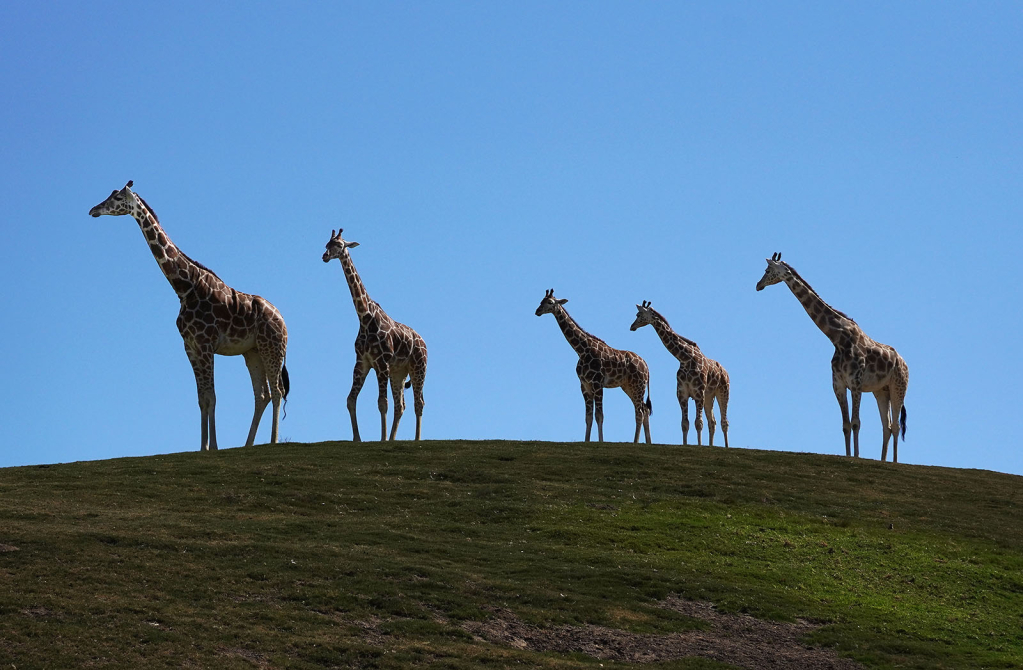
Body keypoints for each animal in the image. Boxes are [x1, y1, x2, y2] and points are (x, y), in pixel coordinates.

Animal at [89, 180, 288, 450]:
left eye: (118, 197)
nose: (93, 210)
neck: (184, 287)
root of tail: (284, 322)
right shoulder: (190, 346)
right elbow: (201, 398)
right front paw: (202, 447)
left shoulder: (205, 344)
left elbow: (212, 396)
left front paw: (213, 447)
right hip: (252, 351)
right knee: (262, 394)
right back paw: (247, 445)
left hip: (272, 346)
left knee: (277, 390)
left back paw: (273, 442)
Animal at [323, 228, 427, 443]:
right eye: (326, 244)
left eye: (339, 245)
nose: (325, 256)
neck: (364, 317)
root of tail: (425, 343)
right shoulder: (362, 362)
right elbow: (350, 399)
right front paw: (357, 439)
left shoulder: (381, 362)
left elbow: (381, 403)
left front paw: (381, 438)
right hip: (399, 372)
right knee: (401, 405)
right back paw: (393, 438)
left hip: (419, 367)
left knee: (419, 402)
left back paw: (416, 439)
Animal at [531, 290, 650, 443]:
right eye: (541, 301)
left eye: (550, 302)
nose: (537, 311)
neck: (581, 350)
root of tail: (646, 366)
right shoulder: (584, 385)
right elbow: (588, 417)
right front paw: (586, 441)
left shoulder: (597, 383)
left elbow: (599, 415)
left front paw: (601, 441)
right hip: (628, 386)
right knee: (645, 409)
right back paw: (649, 443)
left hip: (638, 385)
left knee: (640, 411)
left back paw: (635, 442)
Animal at [626, 300, 732, 448]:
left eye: (638, 314)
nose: (632, 326)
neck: (685, 358)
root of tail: (725, 371)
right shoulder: (682, 394)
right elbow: (685, 424)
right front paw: (686, 445)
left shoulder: (698, 393)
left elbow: (698, 423)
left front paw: (699, 446)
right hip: (709, 395)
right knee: (713, 422)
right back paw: (711, 446)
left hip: (723, 391)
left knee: (724, 422)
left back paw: (726, 447)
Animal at [752, 251, 912, 462]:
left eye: (767, 270)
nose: (758, 285)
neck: (837, 338)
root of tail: (904, 363)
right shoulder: (838, 385)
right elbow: (845, 425)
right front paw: (848, 455)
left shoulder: (856, 383)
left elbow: (856, 422)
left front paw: (857, 457)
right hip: (880, 391)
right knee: (886, 426)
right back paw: (883, 460)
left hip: (898, 386)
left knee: (896, 426)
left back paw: (893, 462)